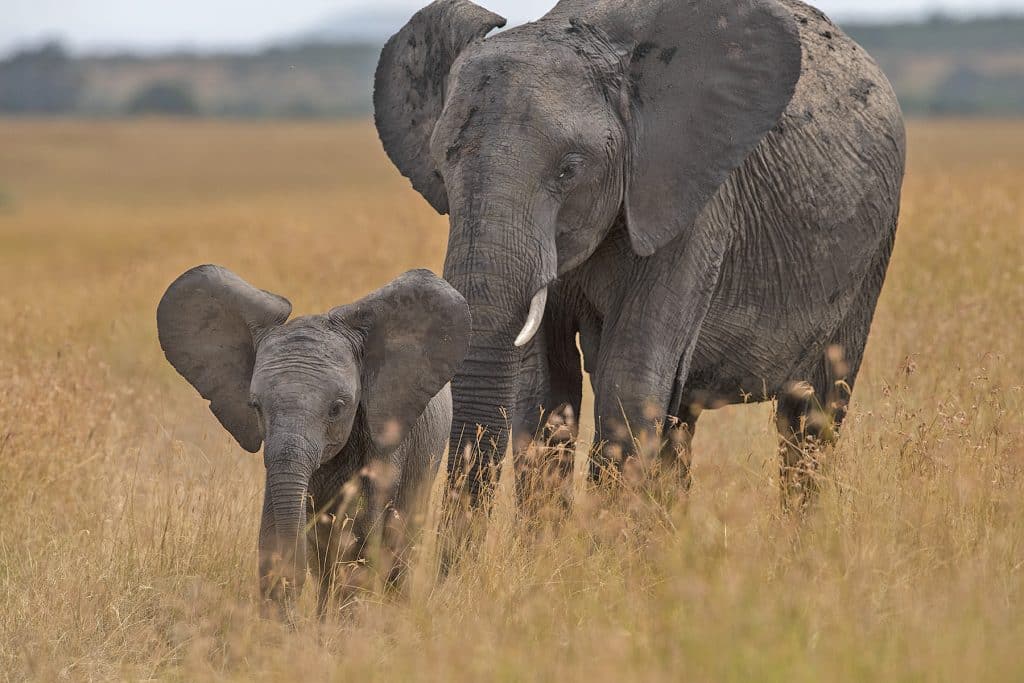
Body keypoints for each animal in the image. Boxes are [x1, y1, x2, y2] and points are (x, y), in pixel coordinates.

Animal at [156, 266, 471, 614]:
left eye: (337, 408)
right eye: (255, 406)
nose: (294, 582)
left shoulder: (384, 435)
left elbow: (362, 538)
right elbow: (276, 532)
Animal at [376, 0, 905, 507]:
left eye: (569, 170)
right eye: (441, 166)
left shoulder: (690, 203)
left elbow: (627, 382)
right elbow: (545, 390)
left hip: (873, 250)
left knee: (812, 417)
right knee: (681, 421)